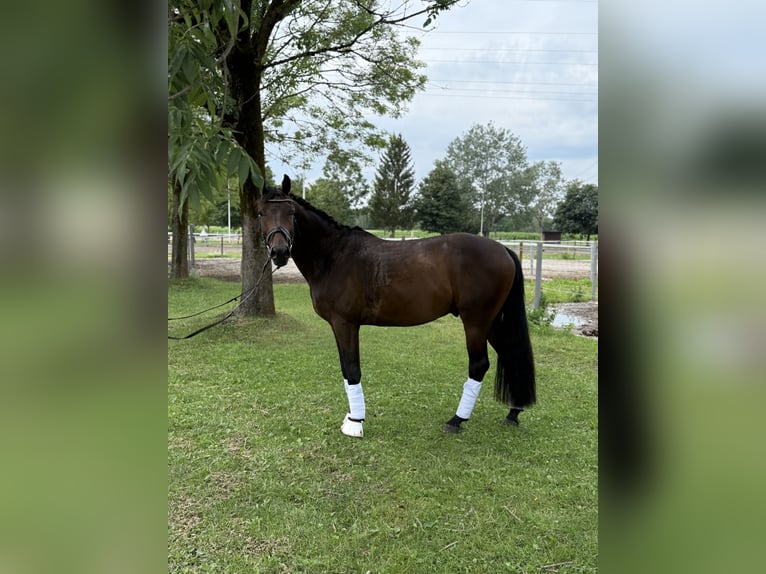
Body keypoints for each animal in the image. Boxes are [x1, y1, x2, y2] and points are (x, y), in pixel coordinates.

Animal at [257, 175, 535, 438]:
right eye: (261, 213)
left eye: (291, 213)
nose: (279, 252)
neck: (334, 256)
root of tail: (503, 249)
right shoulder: (338, 326)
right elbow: (346, 369)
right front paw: (351, 418)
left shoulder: (345, 323)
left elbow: (352, 369)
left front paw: (355, 422)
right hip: (493, 322)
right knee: (509, 353)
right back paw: (514, 412)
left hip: (476, 322)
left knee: (479, 365)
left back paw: (456, 420)